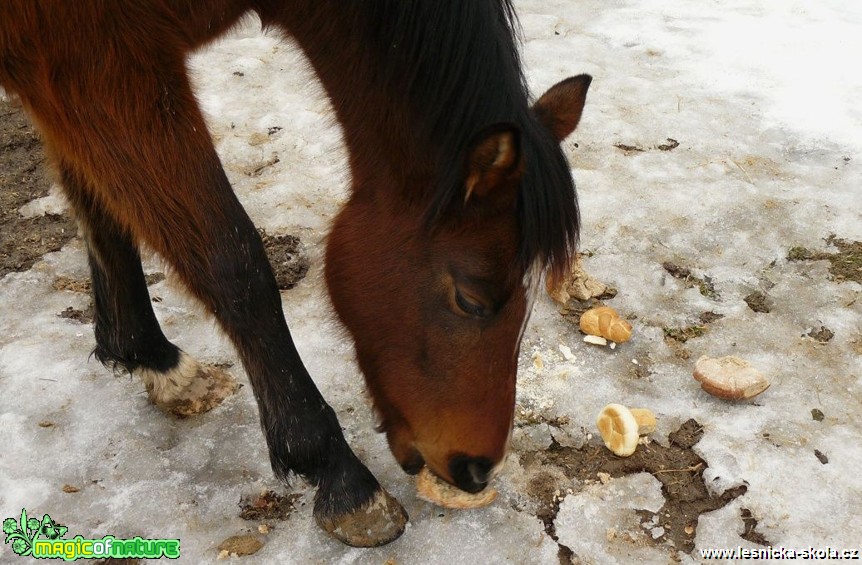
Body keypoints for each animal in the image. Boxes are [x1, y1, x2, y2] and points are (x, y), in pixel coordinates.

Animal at [0, 0, 592, 548]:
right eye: (471, 299)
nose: (478, 470)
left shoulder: (66, 85)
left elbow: (100, 209)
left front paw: (149, 356)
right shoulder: (101, 69)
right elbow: (234, 264)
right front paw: (339, 475)